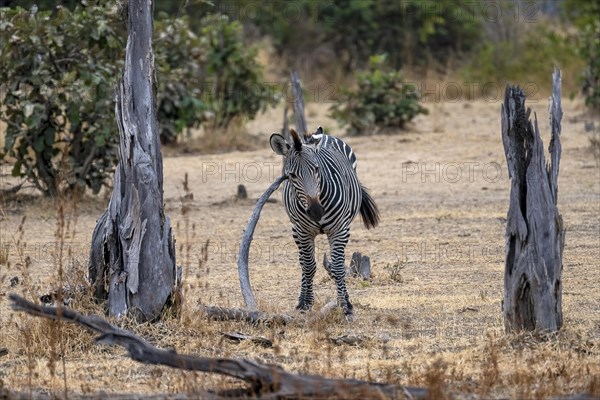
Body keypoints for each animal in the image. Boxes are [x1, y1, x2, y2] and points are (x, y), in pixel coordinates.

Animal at [270, 126, 378, 320]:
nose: (316, 211)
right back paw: (302, 298)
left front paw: (346, 306)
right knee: (303, 262)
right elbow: (308, 266)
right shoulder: (303, 232)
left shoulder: (339, 230)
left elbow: (338, 268)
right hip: (296, 231)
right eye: (291, 175)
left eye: (317, 169)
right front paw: (306, 303)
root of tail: (321, 135)